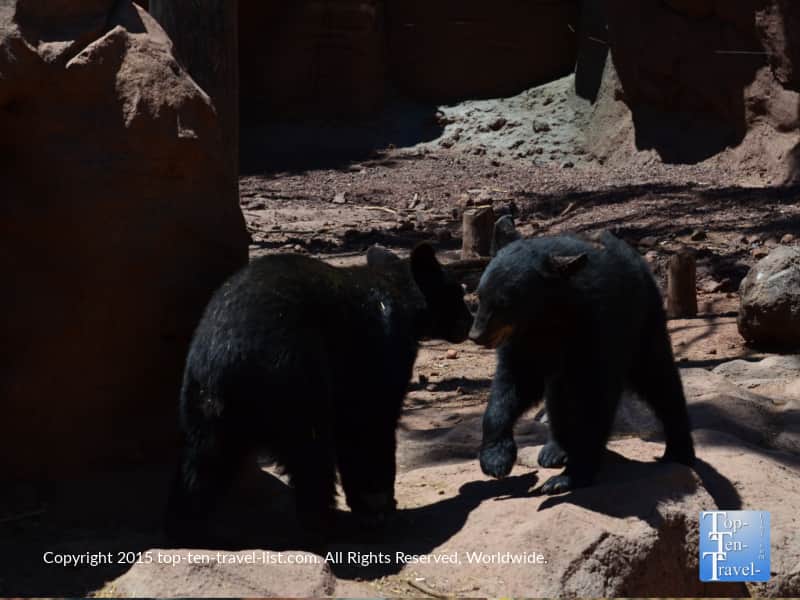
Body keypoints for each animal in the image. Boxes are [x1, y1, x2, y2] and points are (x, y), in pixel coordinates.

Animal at [165, 243, 473, 541]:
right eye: (457, 292)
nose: (469, 320)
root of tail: (226, 360)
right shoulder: (377, 357)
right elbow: (369, 427)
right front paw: (377, 506)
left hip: (203, 404)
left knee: (202, 462)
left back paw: (187, 527)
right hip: (294, 378)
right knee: (311, 456)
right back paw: (326, 524)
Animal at [468, 227, 695, 494]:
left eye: (504, 303)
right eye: (480, 296)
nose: (477, 335)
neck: (548, 319)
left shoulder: (597, 328)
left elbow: (593, 396)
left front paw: (569, 477)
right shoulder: (524, 341)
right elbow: (513, 384)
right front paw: (496, 459)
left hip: (645, 320)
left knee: (660, 380)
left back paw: (679, 451)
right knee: (558, 394)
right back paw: (555, 449)